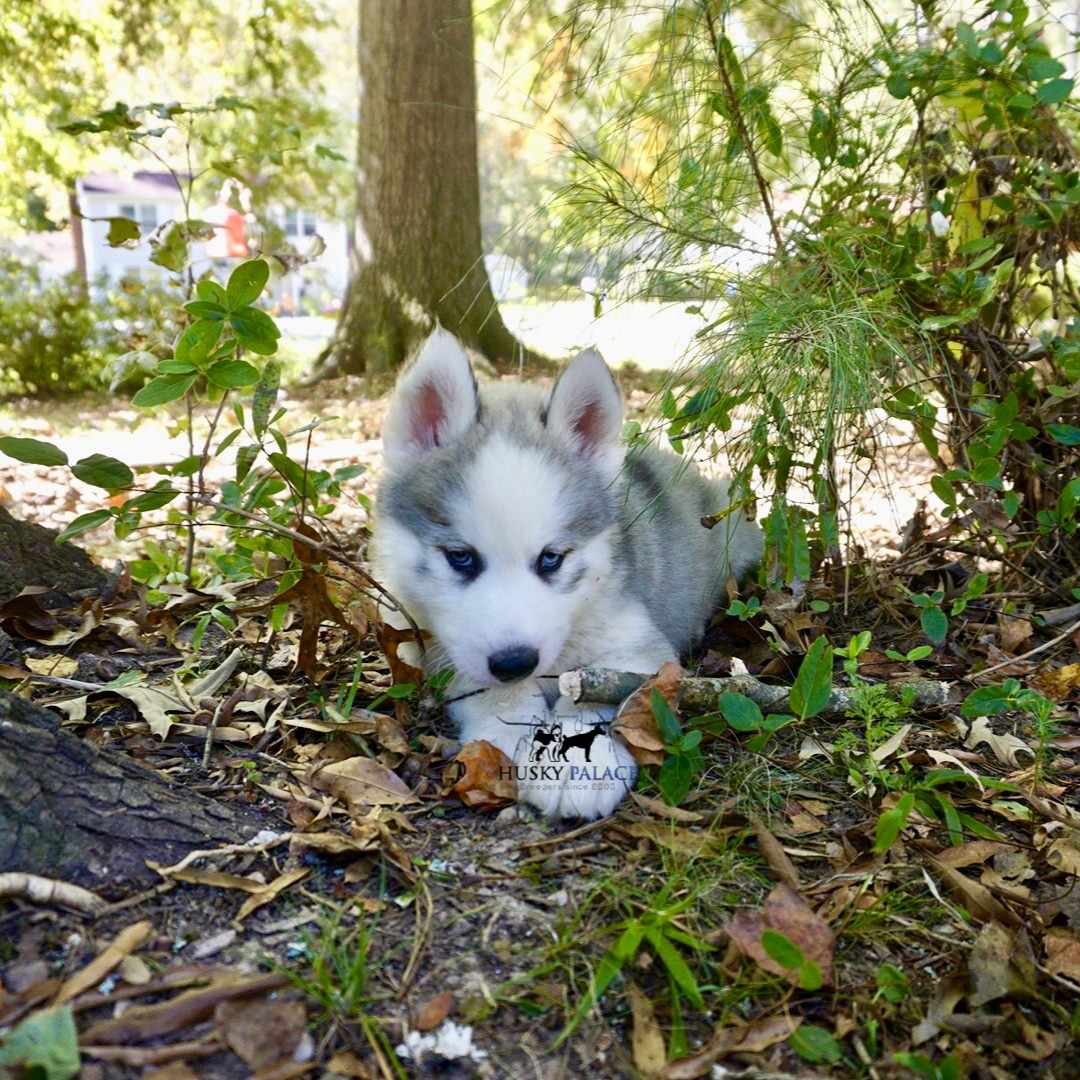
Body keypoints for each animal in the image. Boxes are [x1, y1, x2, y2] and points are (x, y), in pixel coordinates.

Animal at [371, 328, 760, 816]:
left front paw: (577, 766)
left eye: (551, 557)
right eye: (460, 556)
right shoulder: (429, 641)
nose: (515, 662)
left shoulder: (637, 645)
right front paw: (511, 729)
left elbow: (602, 688)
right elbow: (485, 685)